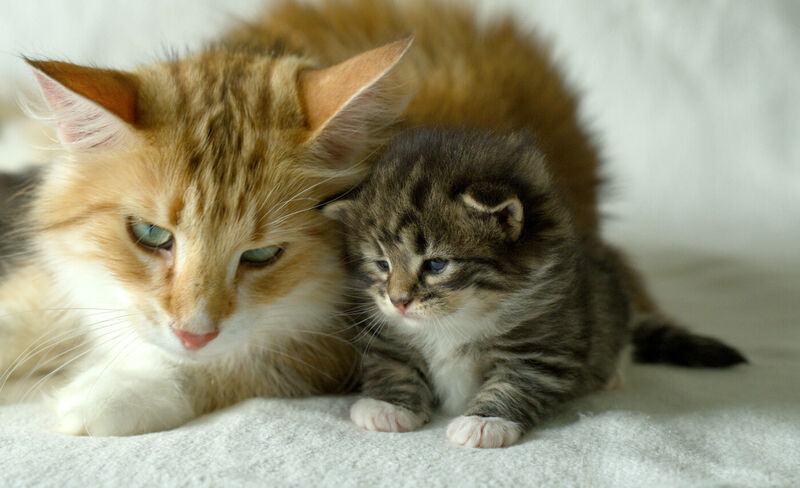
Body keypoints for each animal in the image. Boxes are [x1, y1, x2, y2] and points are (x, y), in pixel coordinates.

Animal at [0, 0, 648, 434]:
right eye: (152, 235)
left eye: (262, 255)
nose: (193, 331)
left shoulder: (345, 341)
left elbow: (239, 361)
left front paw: (116, 391)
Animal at [322, 127, 748, 448]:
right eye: (382, 265)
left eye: (436, 265)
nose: (398, 301)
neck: (460, 317)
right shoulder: (386, 332)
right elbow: (391, 363)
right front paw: (388, 406)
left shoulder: (544, 344)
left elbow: (516, 383)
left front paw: (485, 422)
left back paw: (613, 371)